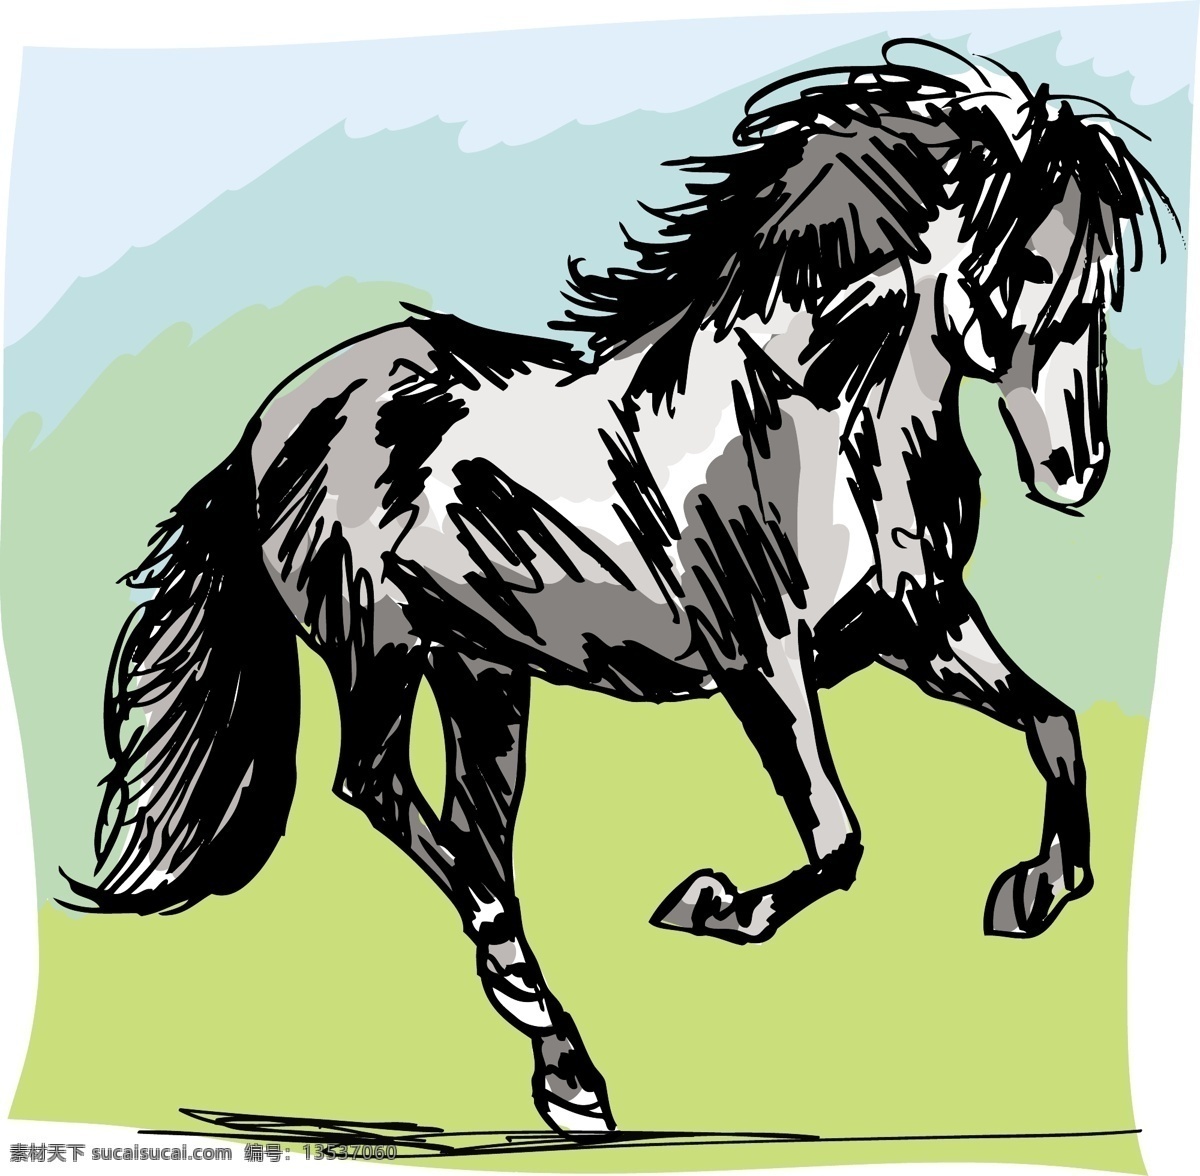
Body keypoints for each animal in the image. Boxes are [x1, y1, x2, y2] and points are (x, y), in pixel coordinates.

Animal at [65, 42, 1172, 1135]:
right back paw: (544, 1020)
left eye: (1102, 286)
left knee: (474, 832)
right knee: (385, 794)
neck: (819, 419)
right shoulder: (758, 652)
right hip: (379, 648)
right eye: (1031, 268)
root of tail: (265, 428)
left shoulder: (915, 627)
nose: (1077, 469)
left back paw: (562, 1065)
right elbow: (838, 838)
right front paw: (709, 902)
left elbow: (1052, 723)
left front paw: (1035, 892)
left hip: (482, 671)